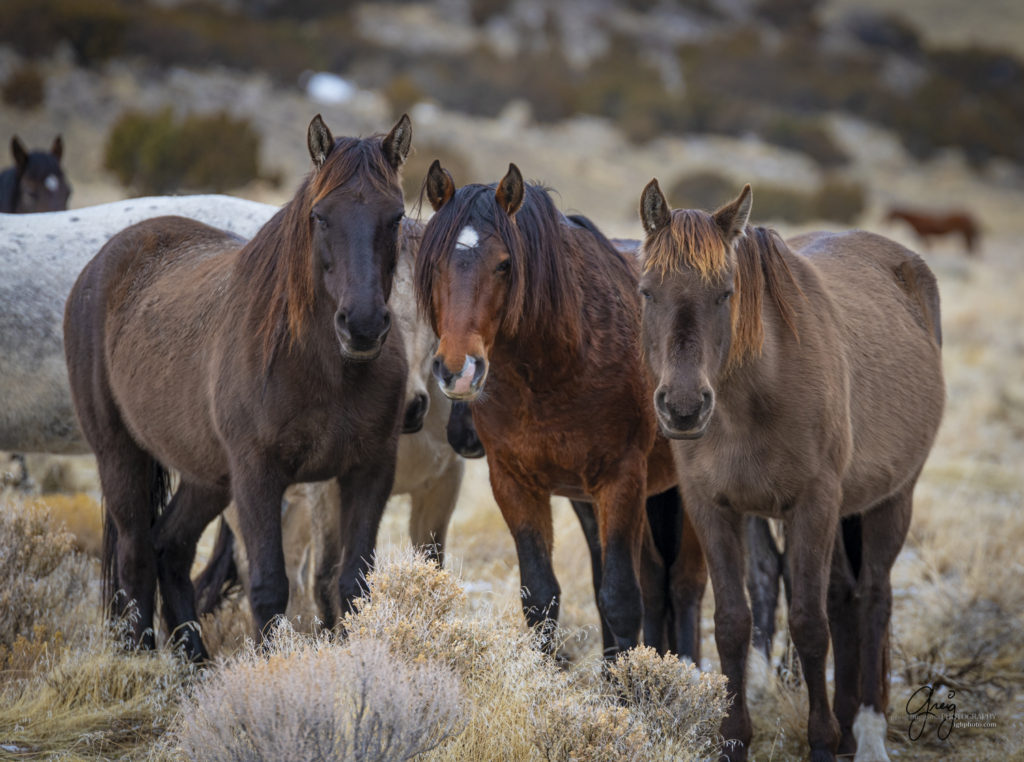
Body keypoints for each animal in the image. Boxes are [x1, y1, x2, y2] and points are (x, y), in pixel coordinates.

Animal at [64, 114, 411, 659]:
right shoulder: (257, 474)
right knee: (136, 552)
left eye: (395, 217)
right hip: (120, 455)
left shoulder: (370, 470)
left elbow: (354, 584)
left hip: (207, 475)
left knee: (170, 547)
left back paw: (194, 660)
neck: (325, 368)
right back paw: (142, 662)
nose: (362, 325)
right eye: (320, 216)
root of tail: (100, 264)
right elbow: (268, 585)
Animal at [411, 158, 708, 655]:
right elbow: (541, 598)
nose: (459, 370)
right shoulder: (515, 485)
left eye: (505, 264)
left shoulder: (621, 481)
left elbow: (621, 599)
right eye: (433, 265)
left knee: (683, 585)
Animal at [638, 180, 942, 762]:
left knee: (873, 600)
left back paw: (866, 733)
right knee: (844, 597)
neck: (753, 398)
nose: (684, 408)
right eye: (646, 292)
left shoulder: (814, 505)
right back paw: (847, 725)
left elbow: (808, 624)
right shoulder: (713, 508)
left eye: (726, 292)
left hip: (894, 500)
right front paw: (734, 737)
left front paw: (821, 741)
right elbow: (733, 623)